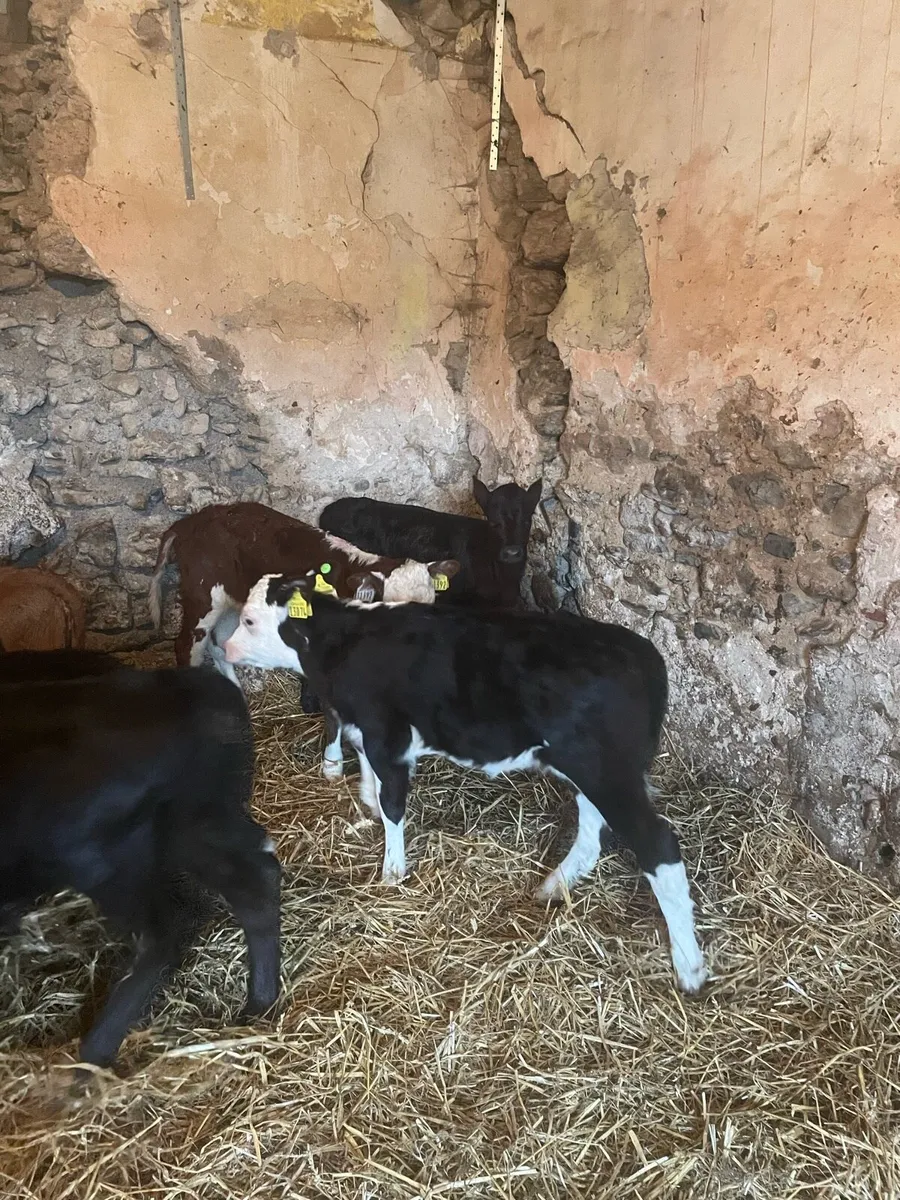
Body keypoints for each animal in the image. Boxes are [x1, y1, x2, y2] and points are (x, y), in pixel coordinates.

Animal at [0, 661, 281, 1069]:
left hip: (96, 852)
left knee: (168, 926)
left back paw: (91, 1058)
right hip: (191, 824)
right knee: (255, 882)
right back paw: (259, 1004)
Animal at [149, 501, 459, 692]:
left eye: (431, 606)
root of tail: (192, 520)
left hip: (232, 602)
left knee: (220, 646)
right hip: (204, 594)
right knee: (187, 645)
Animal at [221, 575, 708, 995]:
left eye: (249, 620)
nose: (224, 648)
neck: (342, 643)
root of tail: (644, 653)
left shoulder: (388, 736)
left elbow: (393, 802)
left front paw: (392, 871)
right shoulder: (368, 731)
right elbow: (370, 777)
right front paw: (367, 805)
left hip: (605, 770)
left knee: (658, 845)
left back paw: (689, 966)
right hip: (587, 769)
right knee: (592, 831)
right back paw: (554, 887)